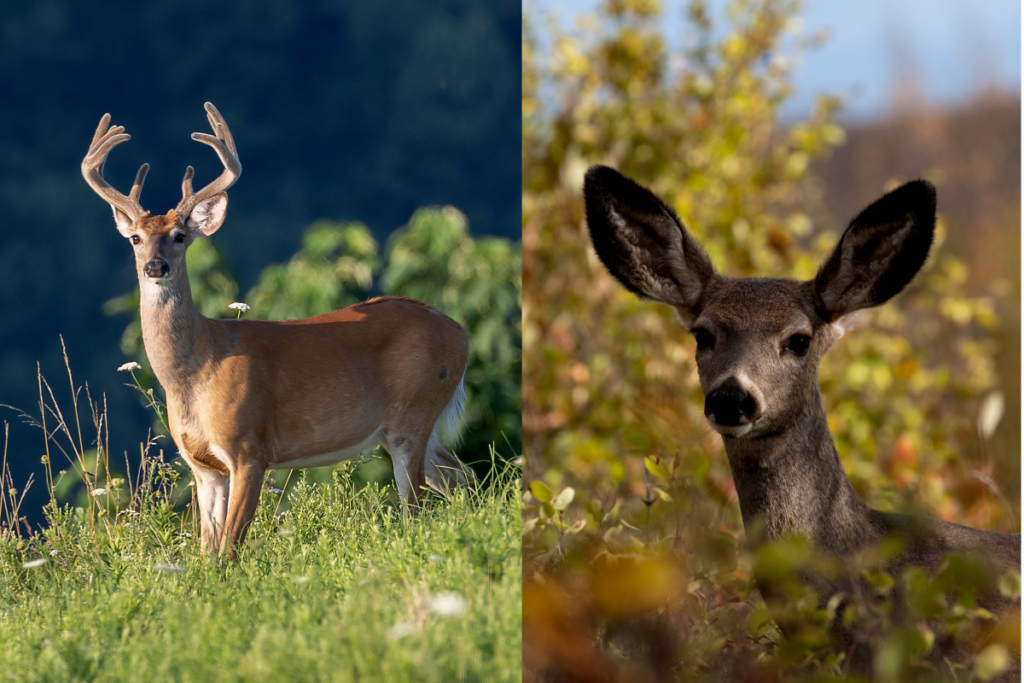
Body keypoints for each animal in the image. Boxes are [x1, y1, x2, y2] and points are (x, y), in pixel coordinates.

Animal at [81, 105, 473, 557]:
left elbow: (229, 550)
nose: (154, 266)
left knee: (419, 506)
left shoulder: (249, 449)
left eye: (180, 236)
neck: (197, 372)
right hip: (418, 427)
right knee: (462, 477)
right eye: (134, 238)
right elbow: (207, 552)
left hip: (413, 413)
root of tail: (460, 332)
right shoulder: (203, 467)